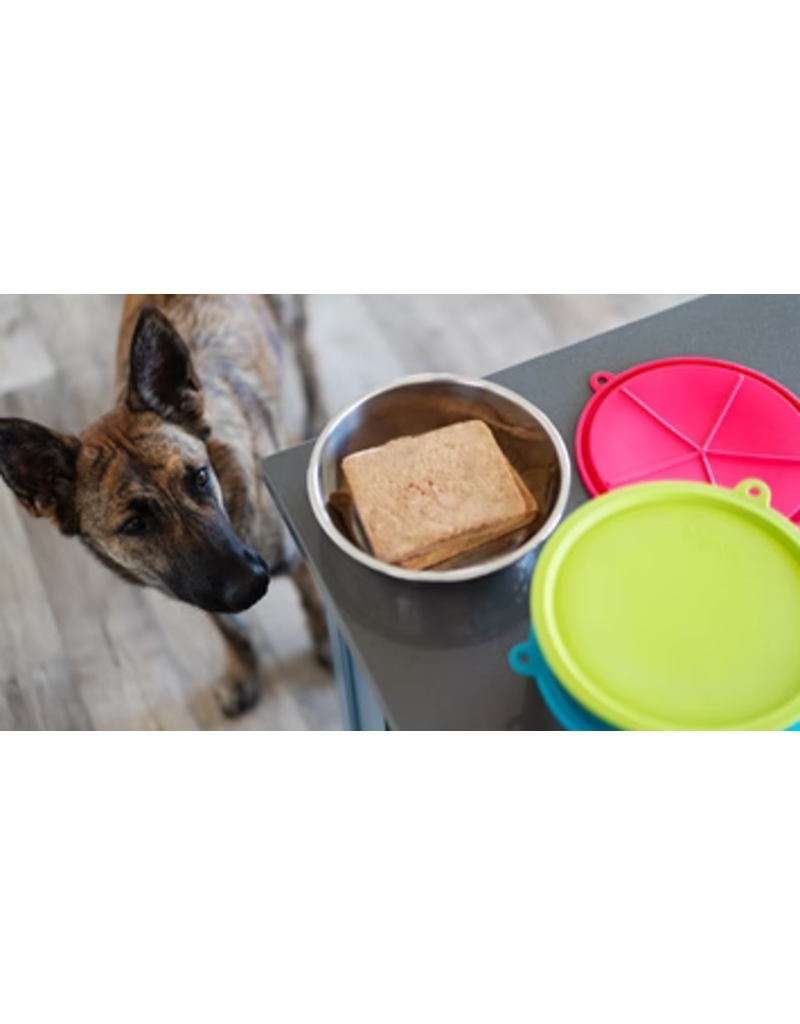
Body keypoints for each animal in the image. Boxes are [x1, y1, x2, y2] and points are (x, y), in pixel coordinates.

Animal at [0, 292, 327, 716]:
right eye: (135, 525)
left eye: (200, 478)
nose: (253, 585)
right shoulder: (196, 590)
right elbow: (233, 632)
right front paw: (242, 672)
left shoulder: (295, 559)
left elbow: (316, 602)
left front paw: (326, 644)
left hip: (292, 317)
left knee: (308, 355)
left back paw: (317, 413)